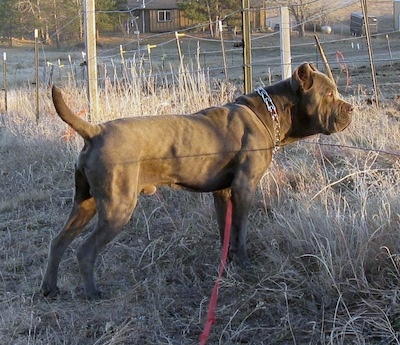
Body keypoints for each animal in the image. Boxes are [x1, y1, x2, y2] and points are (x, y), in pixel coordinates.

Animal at [41, 62, 354, 298]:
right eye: (329, 94)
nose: (350, 108)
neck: (270, 113)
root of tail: (95, 131)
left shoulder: (223, 192)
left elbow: (225, 230)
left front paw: (227, 264)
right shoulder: (245, 187)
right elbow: (241, 231)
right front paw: (244, 264)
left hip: (85, 203)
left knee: (57, 241)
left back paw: (49, 288)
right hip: (118, 207)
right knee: (85, 251)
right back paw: (93, 293)